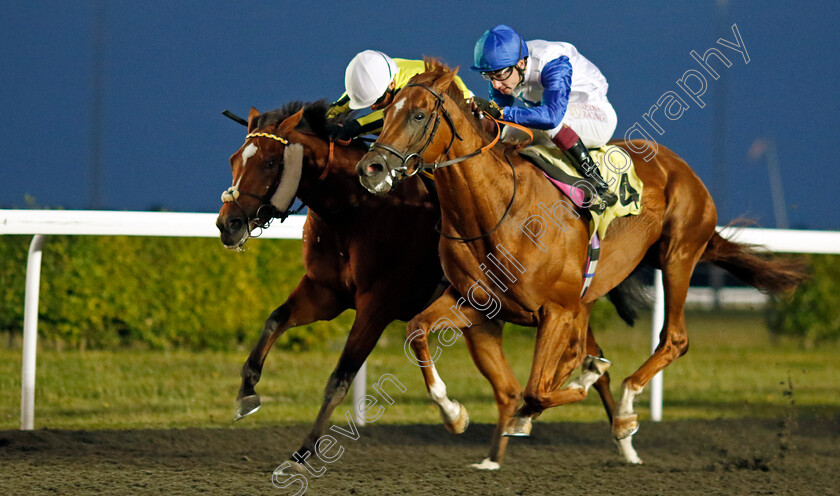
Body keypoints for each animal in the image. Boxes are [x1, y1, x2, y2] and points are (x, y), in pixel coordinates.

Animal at [213, 101, 632, 468]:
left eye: (270, 162)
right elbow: (275, 320)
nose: (227, 224)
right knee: (514, 387)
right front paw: (246, 394)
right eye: (234, 160)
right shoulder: (324, 293)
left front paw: (304, 451)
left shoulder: (377, 305)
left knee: (587, 365)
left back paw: (623, 438)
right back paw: (498, 452)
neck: (355, 211)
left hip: (554, 311)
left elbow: (341, 377)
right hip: (486, 321)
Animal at [354, 63, 808, 464]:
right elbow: (417, 331)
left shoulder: (557, 309)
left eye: (417, 114)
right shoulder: (478, 304)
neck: (496, 211)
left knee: (672, 339)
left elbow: (536, 388)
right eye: (384, 113)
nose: (370, 168)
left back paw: (624, 404)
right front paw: (454, 413)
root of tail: (681, 167)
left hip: (679, 254)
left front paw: (569, 391)